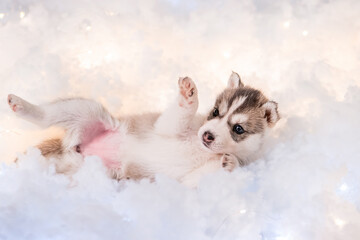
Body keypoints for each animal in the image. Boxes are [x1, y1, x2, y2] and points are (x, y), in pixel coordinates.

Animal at [7, 72, 280, 187]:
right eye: (215, 112)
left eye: (238, 128)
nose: (207, 135)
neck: (200, 149)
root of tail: (72, 150)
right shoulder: (167, 127)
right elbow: (179, 114)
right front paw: (188, 94)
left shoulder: (189, 180)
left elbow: (202, 176)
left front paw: (230, 163)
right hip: (86, 110)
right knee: (45, 117)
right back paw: (20, 105)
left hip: (93, 172)